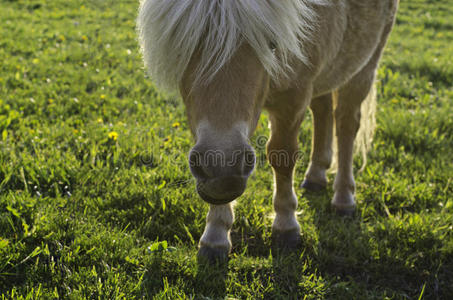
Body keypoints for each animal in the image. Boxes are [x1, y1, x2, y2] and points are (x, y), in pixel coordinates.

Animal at [136, 0, 398, 262]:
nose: (223, 170)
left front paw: (286, 226)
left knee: (346, 125)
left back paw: (344, 198)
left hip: (364, 65)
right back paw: (316, 176)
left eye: (271, 42)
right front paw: (215, 234)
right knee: (323, 110)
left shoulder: (294, 98)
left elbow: (283, 157)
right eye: (184, 42)